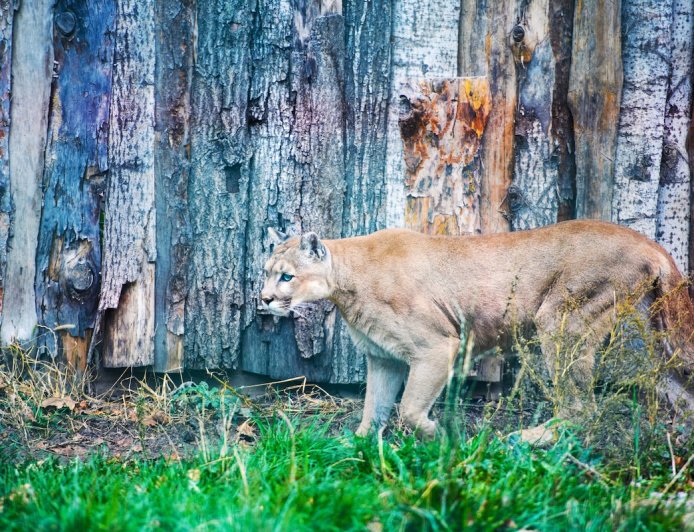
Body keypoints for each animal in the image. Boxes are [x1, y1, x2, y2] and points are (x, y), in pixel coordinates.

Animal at [260, 220, 694, 441]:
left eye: (287, 276)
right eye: (266, 272)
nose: (263, 299)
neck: (346, 280)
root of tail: (649, 242)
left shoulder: (437, 347)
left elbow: (409, 408)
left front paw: (437, 434)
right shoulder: (384, 358)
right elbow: (375, 407)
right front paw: (357, 448)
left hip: (560, 319)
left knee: (583, 407)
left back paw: (530, 437)